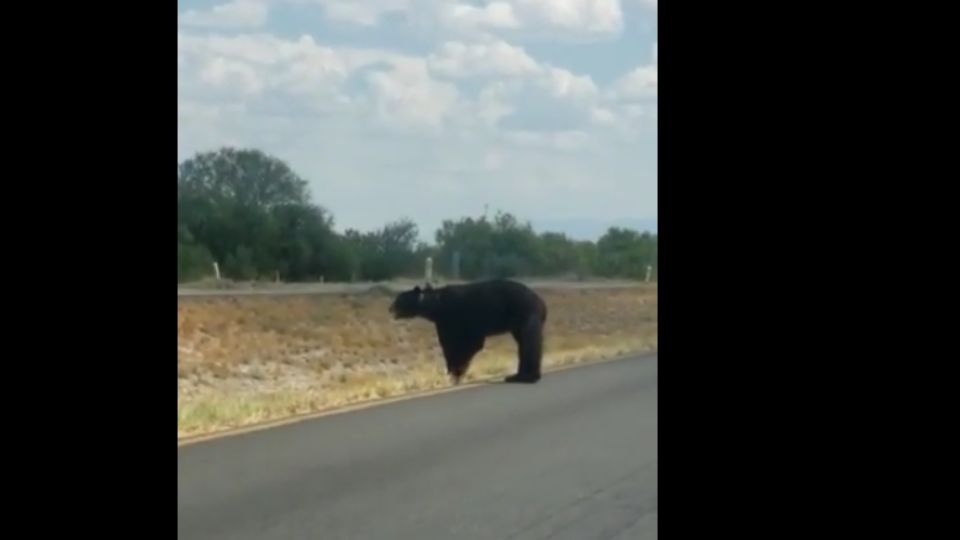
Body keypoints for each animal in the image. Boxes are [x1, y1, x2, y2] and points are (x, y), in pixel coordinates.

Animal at [388, 278, 548, 384]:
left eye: (399, 299)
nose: (390, 308)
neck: (437, 306)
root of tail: (541, 302)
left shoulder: (457, 318)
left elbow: (462, 343)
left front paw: (456, 372)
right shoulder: (445, 322)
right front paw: (455, 372)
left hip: (526, 313)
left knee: (529, 342)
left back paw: (526, 377)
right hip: (519, 322)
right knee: (525, 343)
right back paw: (517, 375)